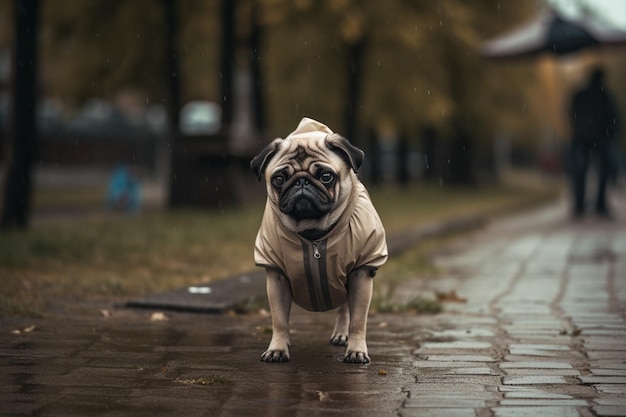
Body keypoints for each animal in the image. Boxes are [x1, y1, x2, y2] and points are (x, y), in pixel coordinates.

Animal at [250, 117, 386, 364]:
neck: (313, 233)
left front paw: (356, 350)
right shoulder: (276, 278)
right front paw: (278, 348)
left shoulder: (361, 275)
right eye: (279, 179)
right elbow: (279, 320)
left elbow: (358, 320)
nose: (302, 182)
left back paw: (342, 336)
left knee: (345, 310)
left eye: (326, 176)